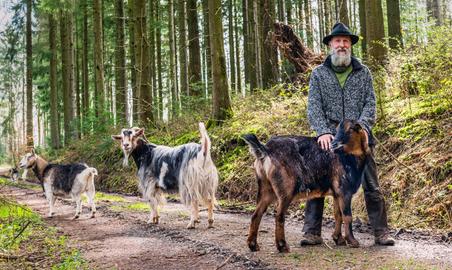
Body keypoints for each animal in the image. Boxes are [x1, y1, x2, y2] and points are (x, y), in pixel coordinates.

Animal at [244, 119, 370, 252]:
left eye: (350, 129)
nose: (334, 144)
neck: (349, 157)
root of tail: (266, 150)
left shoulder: (337, 193)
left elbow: (338, 215)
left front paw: (339, 239)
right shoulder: (344, 191)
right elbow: (347, 216)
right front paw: (352, 241)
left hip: (265, 188)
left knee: (256, 214)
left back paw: (253, 245)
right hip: (286, 189)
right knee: (279, 215)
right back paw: (282, 246)